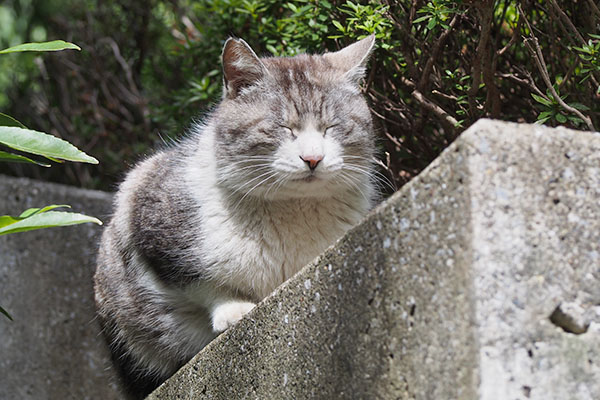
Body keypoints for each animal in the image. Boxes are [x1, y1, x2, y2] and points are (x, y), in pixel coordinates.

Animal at [92, 36, 378, 398]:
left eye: (332, 127)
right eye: (283, 128)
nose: (313, 158)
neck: (292, 210)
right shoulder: (149, 217)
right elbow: (205, 282)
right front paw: (235, 309)